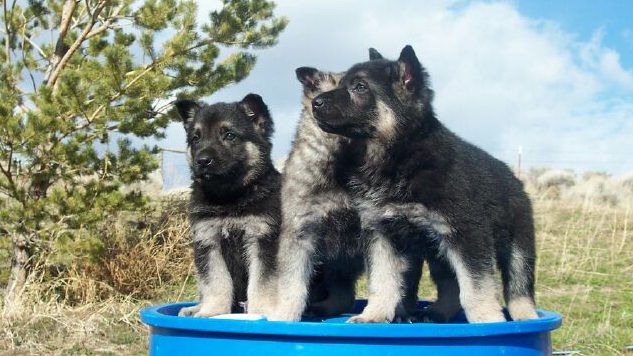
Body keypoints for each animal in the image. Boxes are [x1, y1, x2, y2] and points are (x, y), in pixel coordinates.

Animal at [174, 94, 280, 318]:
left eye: (230, 136)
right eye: (196, 138)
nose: (202, 161)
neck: (229, 199)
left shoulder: (262, 240)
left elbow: (261, 284)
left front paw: (260, 313)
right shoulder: (208, 242)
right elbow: (216, 282)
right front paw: (211, 312)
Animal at [312, 46, 540, 324]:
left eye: (360, 87)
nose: (315, 103)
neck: (400, 157)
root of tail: (514, 179)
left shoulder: (468, 235)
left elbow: (476, 288)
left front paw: (488, 321)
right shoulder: (382, 234)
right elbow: (383, 280)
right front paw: (374, 314)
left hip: (517, 246)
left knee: (519, 286)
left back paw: (526, 316)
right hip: (439, 253)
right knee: (451, 285)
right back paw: (438, 313)